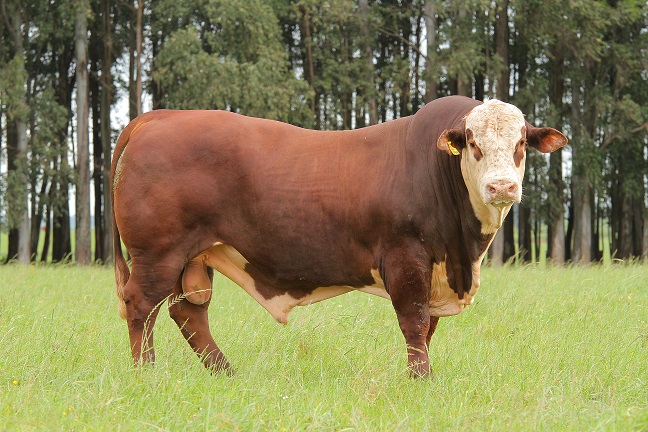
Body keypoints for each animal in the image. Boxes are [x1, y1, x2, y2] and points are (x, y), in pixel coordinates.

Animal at [111, 95, 567, 377]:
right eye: (473, 141)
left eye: (521, 141)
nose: (502, 186)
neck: (462, 253)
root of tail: (160, 116)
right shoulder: (406, 257)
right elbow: (415, 322)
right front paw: (422, 379)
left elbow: (428, 328)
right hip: (158, 253)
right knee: (141, 306)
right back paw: (146, 373)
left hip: (194, 256)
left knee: (189, 313)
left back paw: (226, 373)